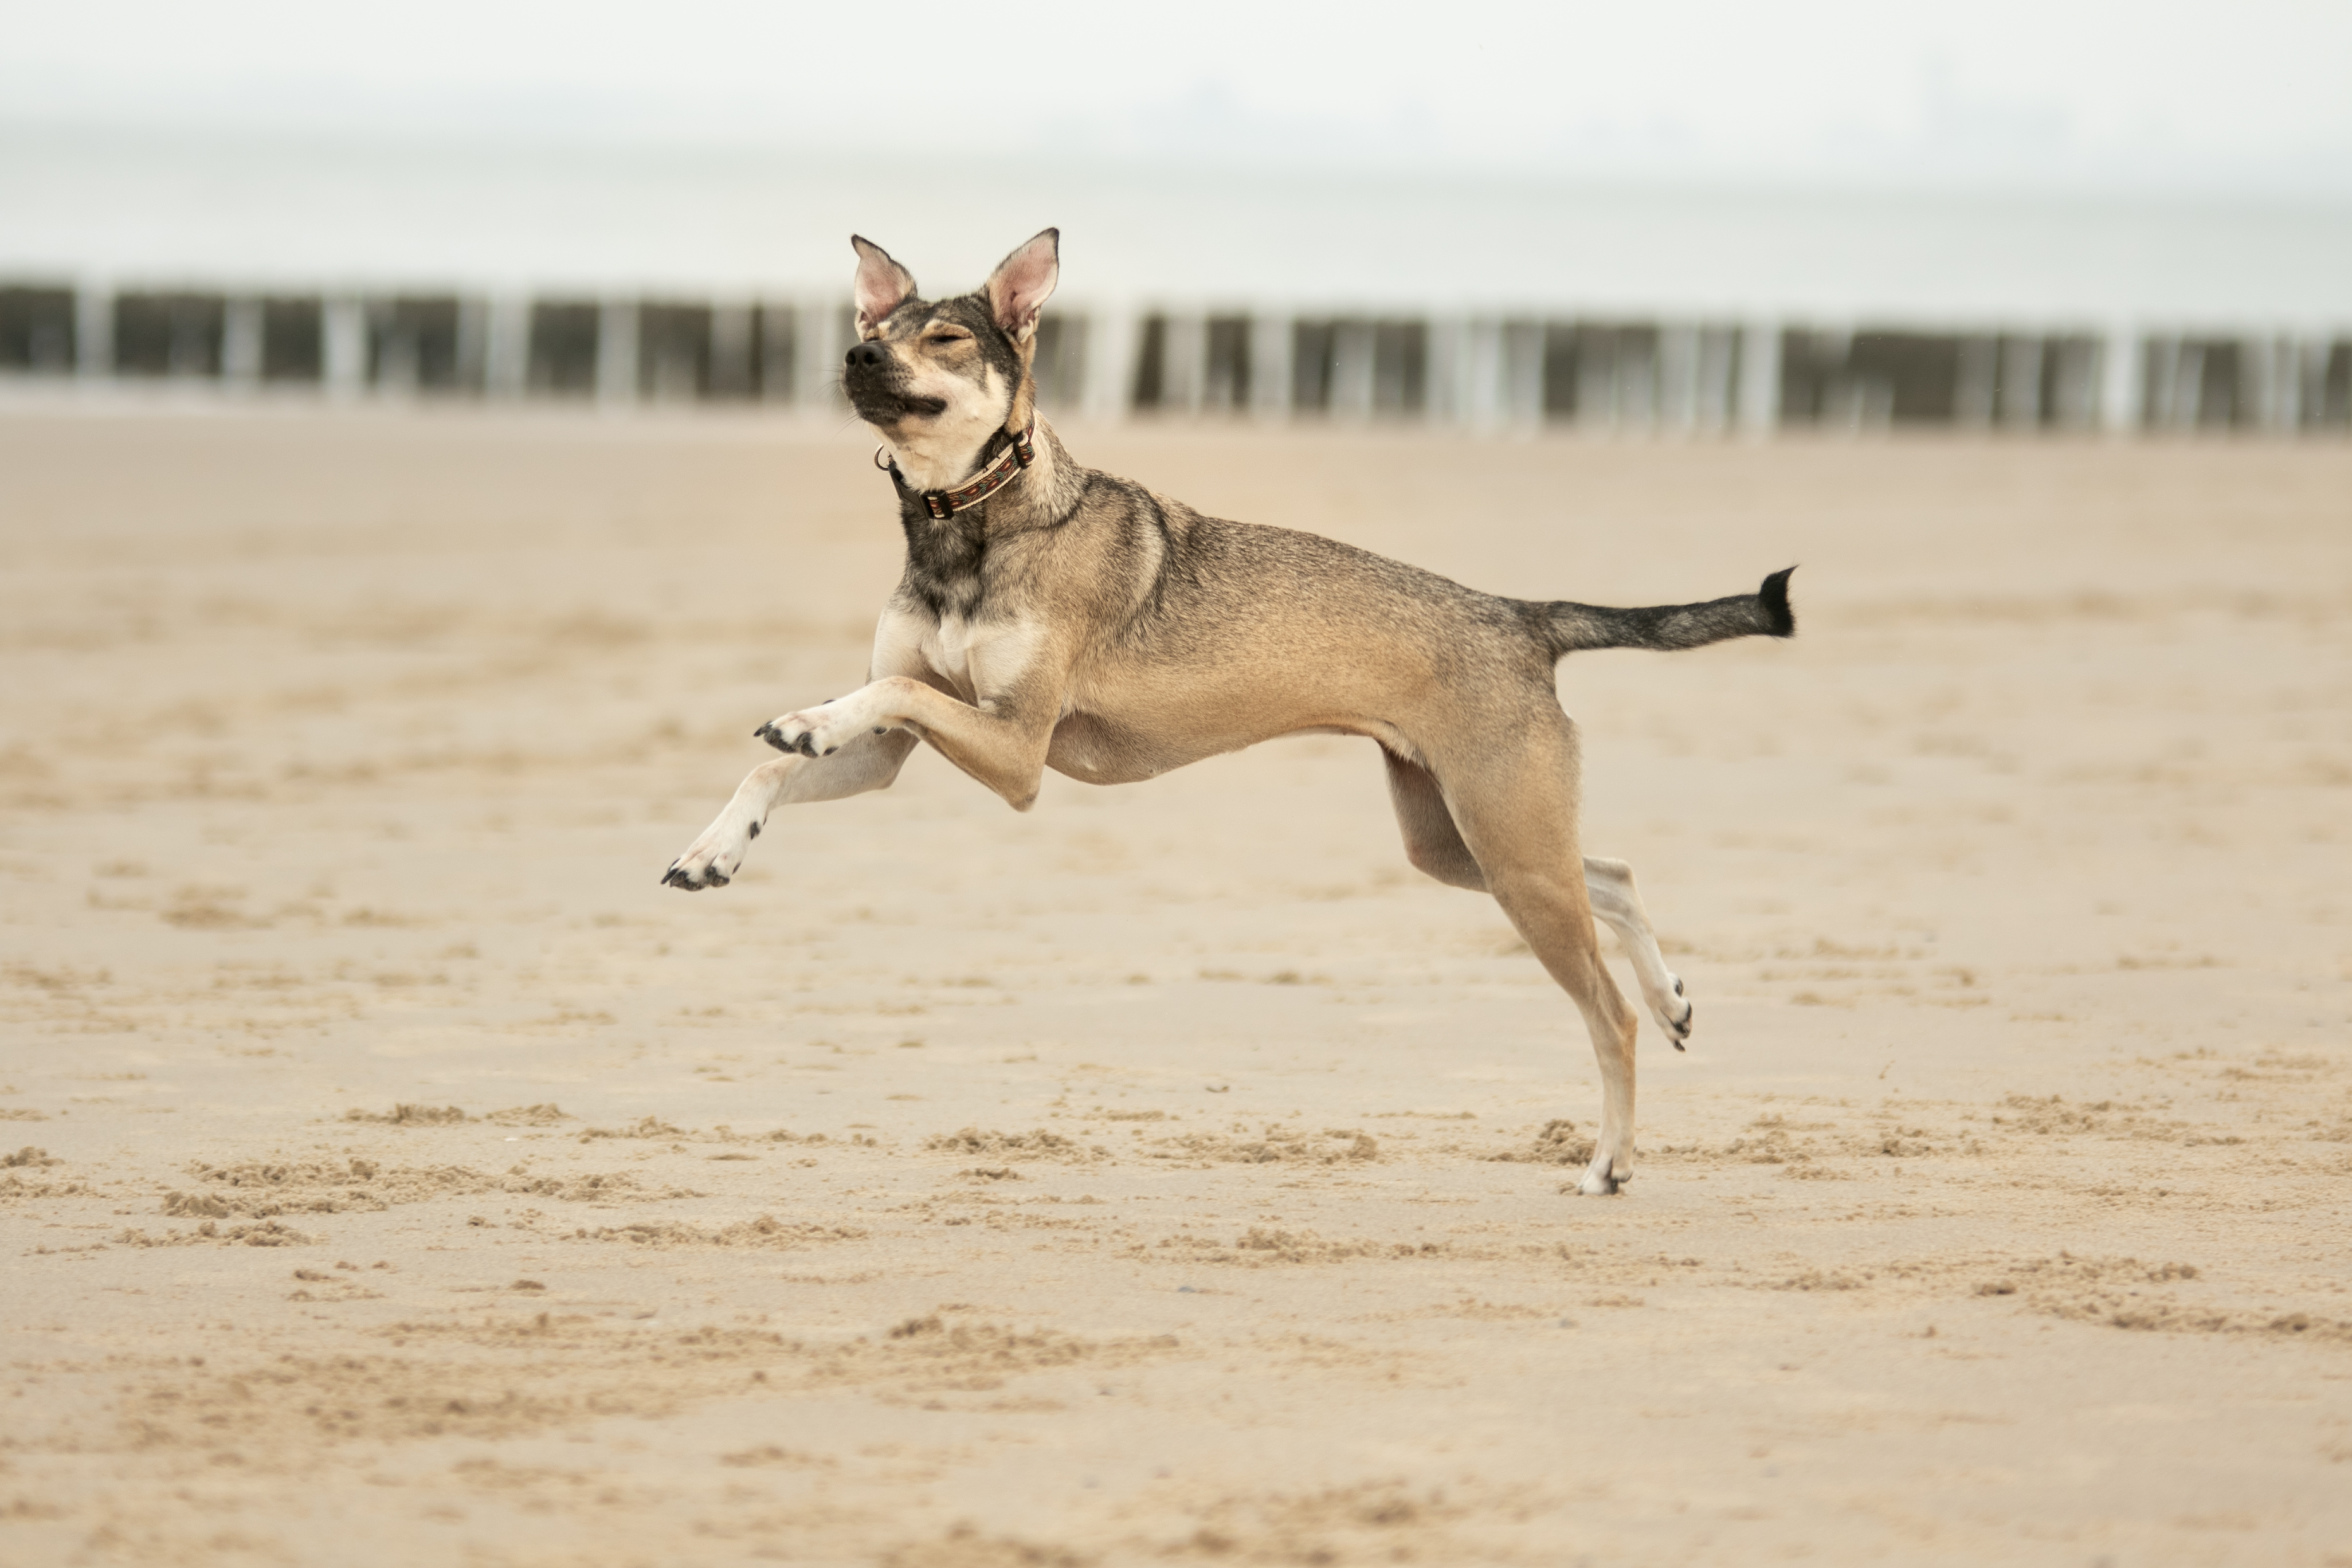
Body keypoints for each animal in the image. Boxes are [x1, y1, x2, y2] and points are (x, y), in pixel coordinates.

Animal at [668, 226, 1797, 1194]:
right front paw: (717, 845)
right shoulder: (902, 751)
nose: (858, 356)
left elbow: (875, 693)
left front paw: (807, 720)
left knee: (1606, 1010)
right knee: (1614, 872)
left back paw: (1610, 1156)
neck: (974, 518)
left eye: (944, 338)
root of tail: (1522, 618)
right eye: (873, 323)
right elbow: (791, 753)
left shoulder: (1016, 751)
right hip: (1461, 841)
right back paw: (1674, 998)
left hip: (1507, 850)